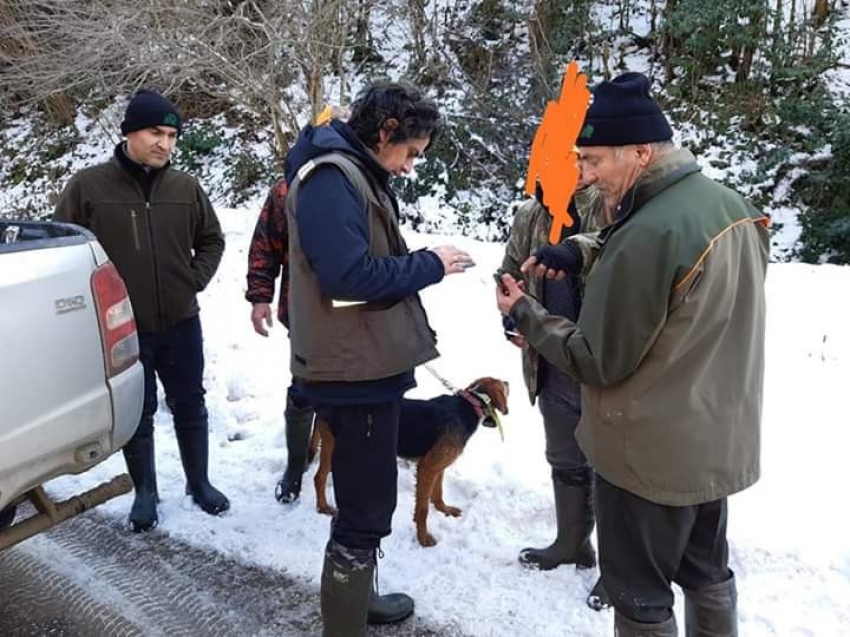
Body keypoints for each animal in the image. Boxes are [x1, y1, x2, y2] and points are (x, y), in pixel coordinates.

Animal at [314, 378, 510, 548]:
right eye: (503, 385)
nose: (509, 382)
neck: (469, 405)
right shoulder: (428, 468)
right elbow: (423, 509)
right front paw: (423, 537)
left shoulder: (439, 466)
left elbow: (438, 494)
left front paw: (445, 510)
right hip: (335, 448)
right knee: (319, 477)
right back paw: (323, 507)